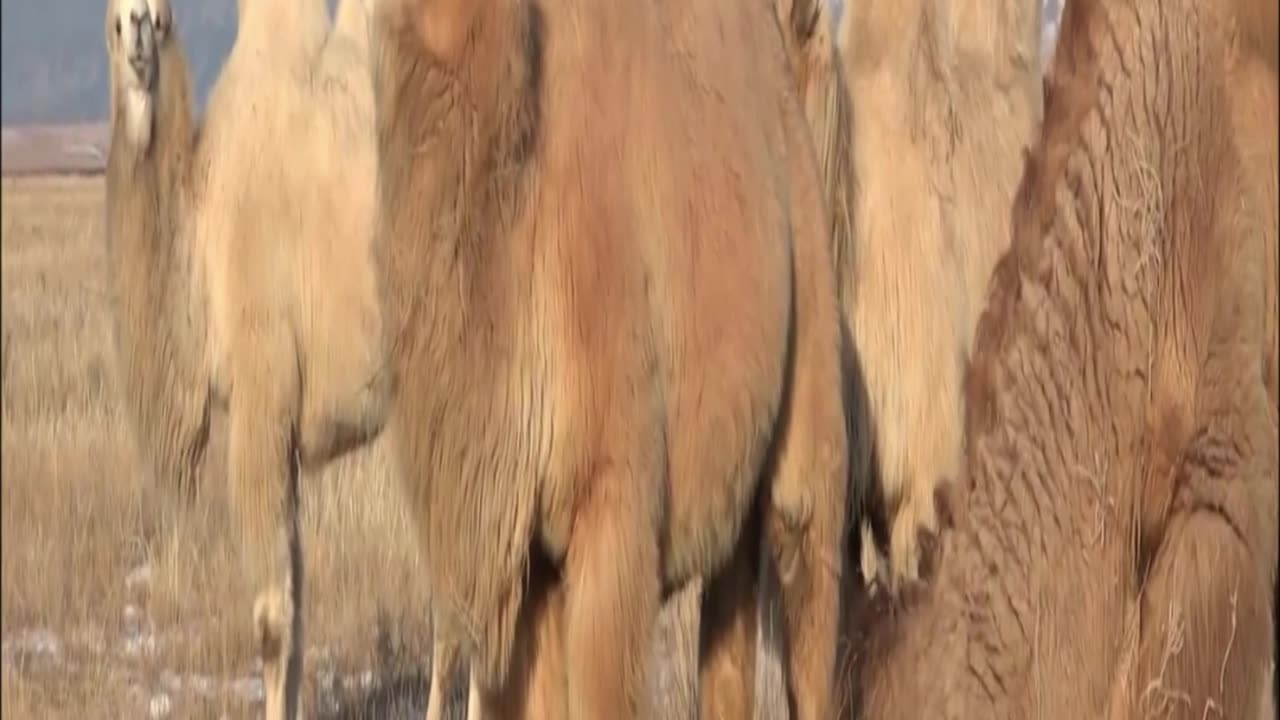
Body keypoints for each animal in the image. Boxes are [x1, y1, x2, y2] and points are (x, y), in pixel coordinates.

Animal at [103, 0, 390, 717]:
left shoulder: (263, 406)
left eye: (160, 18)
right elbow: (300, 607)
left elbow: (270, 618)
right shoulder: (283, 437)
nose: (137, 31)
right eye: (113, 22)